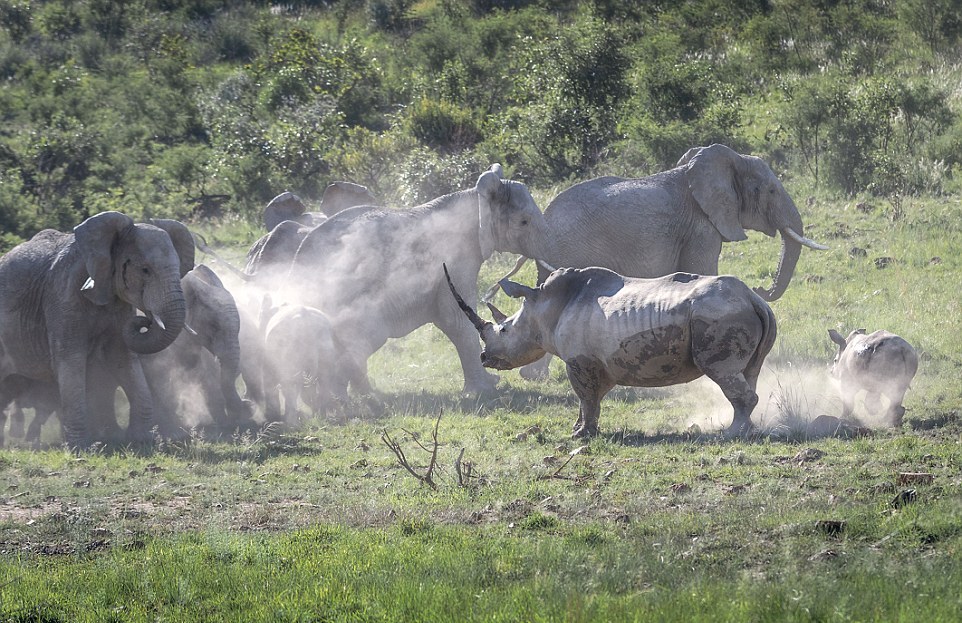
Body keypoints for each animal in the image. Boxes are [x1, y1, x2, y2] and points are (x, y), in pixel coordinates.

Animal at [0, 213, 193, 448]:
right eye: (145, 270)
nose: (145, 320)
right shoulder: (62, 297)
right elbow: (70, 360)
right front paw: (80, 448)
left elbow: (122, 357)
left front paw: (142, 441)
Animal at [446, 264, 776, 438]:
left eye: (503, 330)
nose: (485, 358)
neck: (543, 307)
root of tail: (753, 298)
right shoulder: (597, 362)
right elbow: (590, 399)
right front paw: (578, 429)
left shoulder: (579, 360)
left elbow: (586, 397)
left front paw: (581, 436)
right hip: (736, 312)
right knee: (749, 371)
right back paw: (744, 428)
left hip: (720, 315)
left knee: (722, 371)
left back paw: (733, 433)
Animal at [488, 145, 824, 380]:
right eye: (771, 190)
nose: (761, 288)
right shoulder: (701, 227)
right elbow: (703, 271)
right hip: (572, 249)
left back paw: (532, 375)